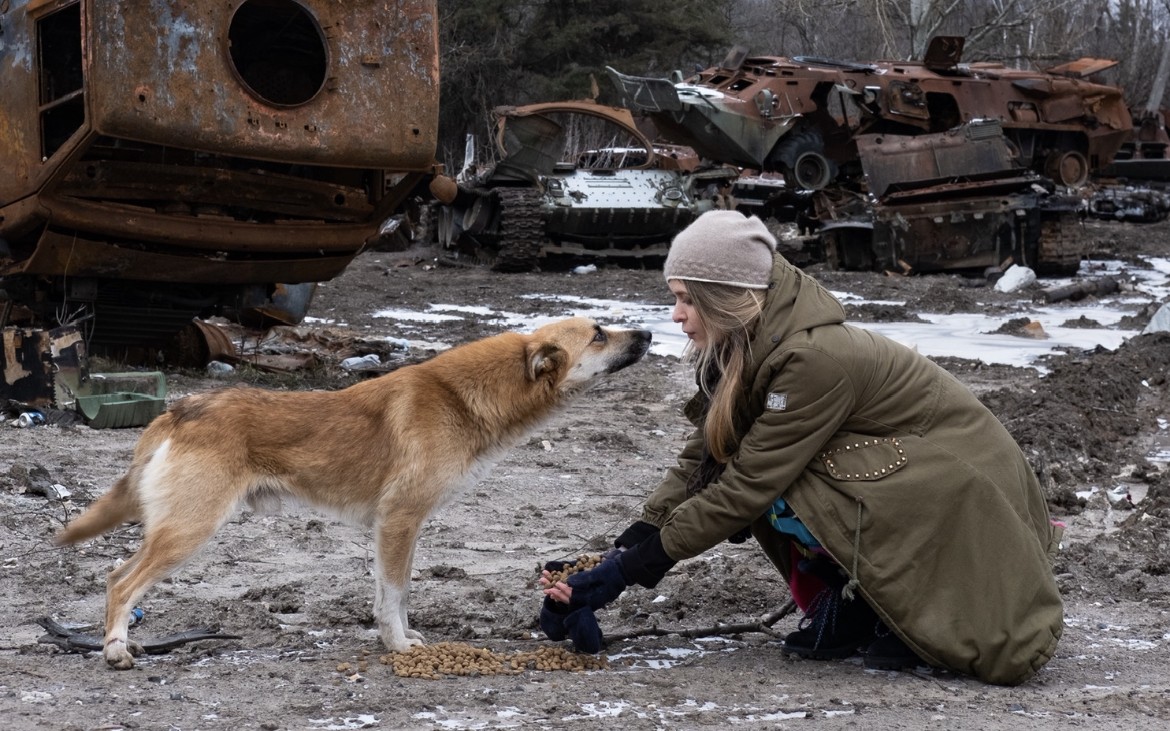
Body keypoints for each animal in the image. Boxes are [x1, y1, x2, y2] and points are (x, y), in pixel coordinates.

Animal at [57, 313, 650, 669]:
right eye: (599, 334)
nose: (647, 334)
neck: (462, 399)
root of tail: (179, 409)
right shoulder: (399, 523)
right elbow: (395, 596)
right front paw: (396, 646)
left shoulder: (399, 529)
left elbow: (393, 595)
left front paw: (401, 641)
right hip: (190, 529)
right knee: (120, 581)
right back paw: (115, 650)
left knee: (116, 577)